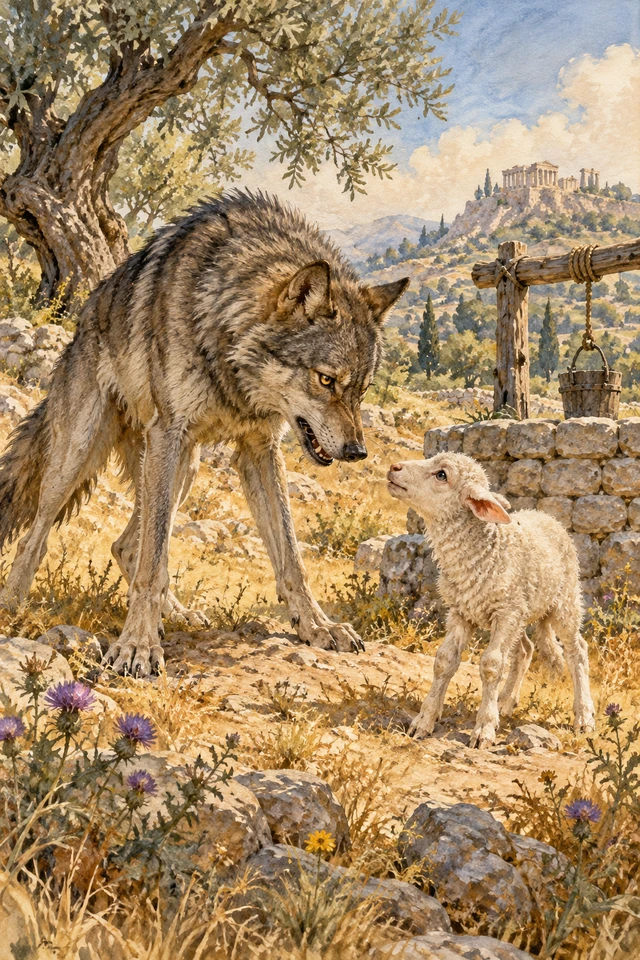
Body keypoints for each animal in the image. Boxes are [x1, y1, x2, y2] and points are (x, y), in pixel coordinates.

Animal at [0, 190, 409, 676]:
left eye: (362, 389)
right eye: (326, 380)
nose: (357, 451)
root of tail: (82, 321)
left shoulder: (259, 447)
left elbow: (291, 556)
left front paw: (317, 625)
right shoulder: (169, 432)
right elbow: (153, 566)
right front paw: (136, 647)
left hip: (185, 466)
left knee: (126, 545)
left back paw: (175, 615)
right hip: (83, 454)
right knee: (39, 536)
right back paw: (13, 604)